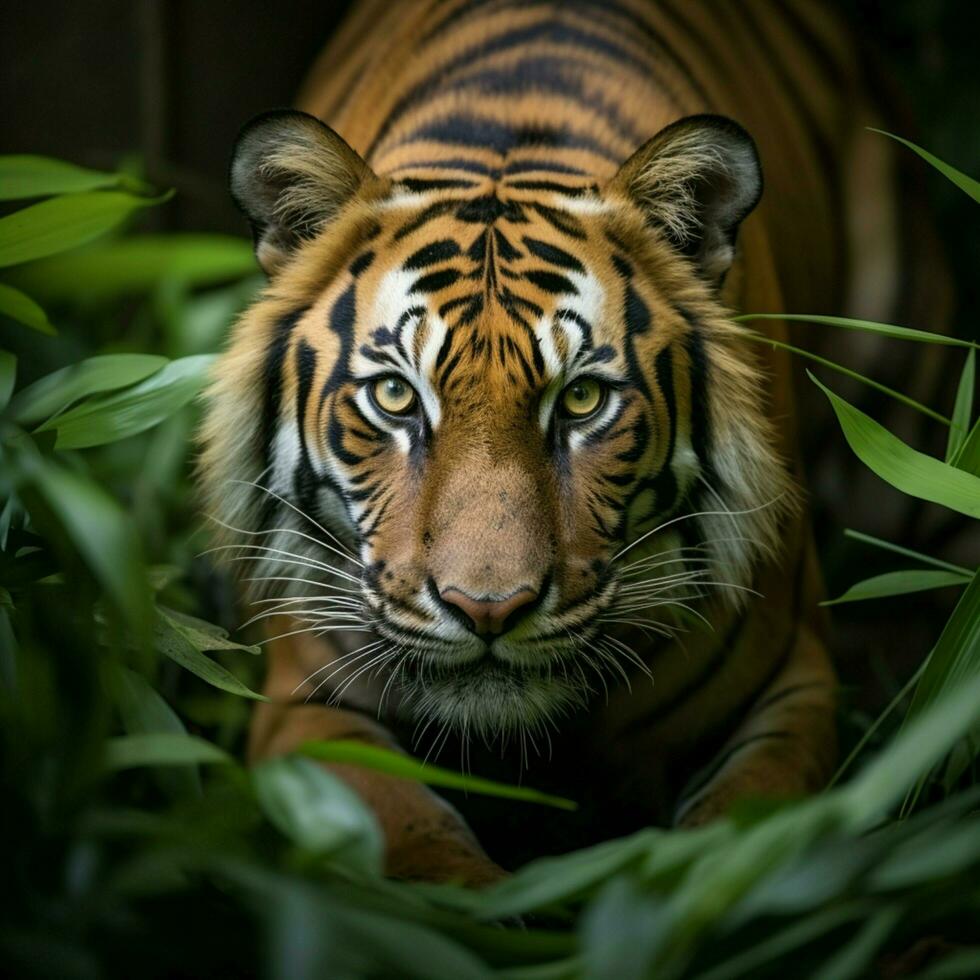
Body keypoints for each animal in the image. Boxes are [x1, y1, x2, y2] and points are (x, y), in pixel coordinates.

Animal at [199, 0, 940, 884]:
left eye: (582, 400)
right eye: (395, 396)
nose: (488, 609)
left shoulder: (790, 688)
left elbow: (736, 842)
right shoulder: (305, 709)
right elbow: (419, 844)